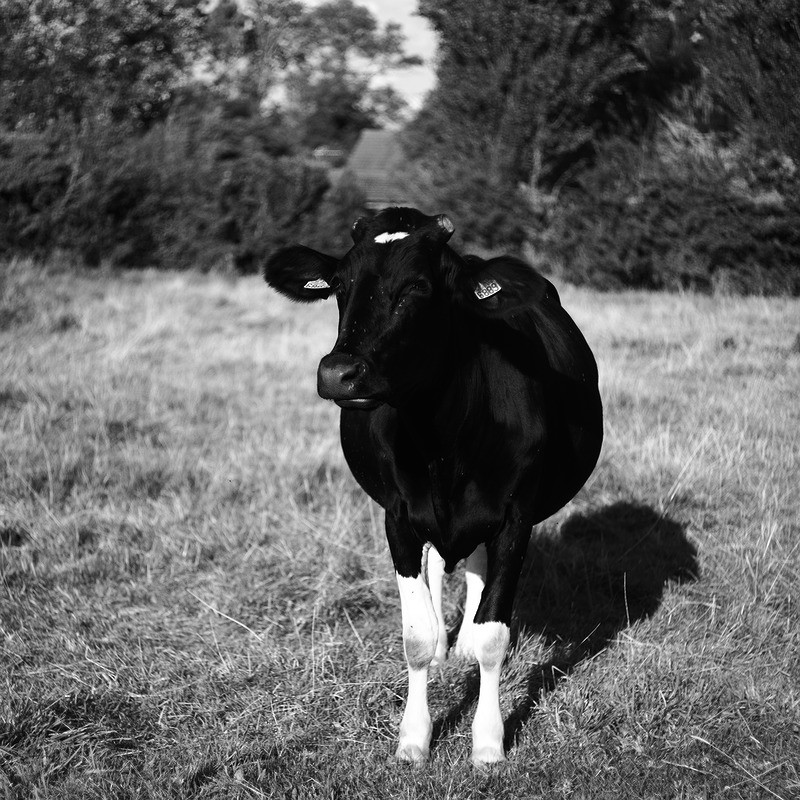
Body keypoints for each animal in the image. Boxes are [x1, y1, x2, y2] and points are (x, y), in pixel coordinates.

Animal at [264, 207, 603, 766]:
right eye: (340, 286)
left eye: (417, 287)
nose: (339, 373)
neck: (441, 441)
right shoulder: (398, 518)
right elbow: (416, 636)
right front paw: (413, 738)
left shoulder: (516, 519)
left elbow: (493, 637)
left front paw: (488, 742)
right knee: (440, 566)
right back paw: (448, 641)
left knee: (474, 569)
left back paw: (461, 641)